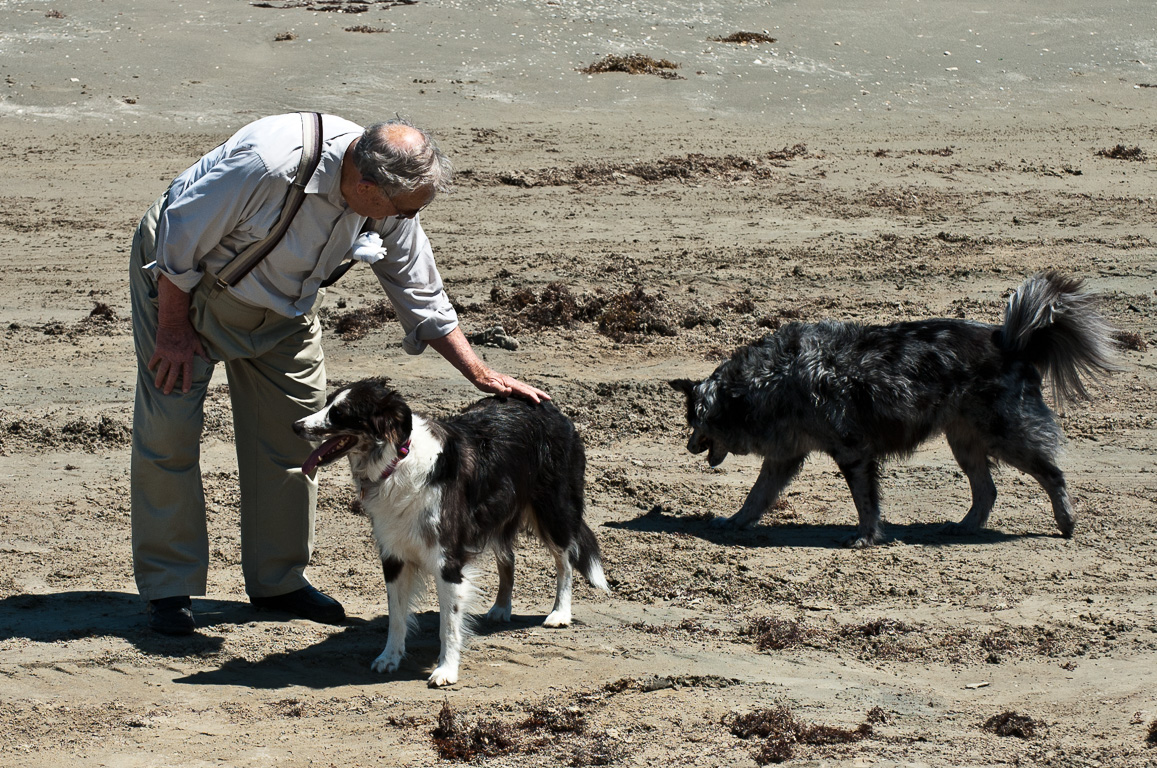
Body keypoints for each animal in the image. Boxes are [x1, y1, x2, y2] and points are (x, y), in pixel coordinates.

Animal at [293, 381, 610, 684]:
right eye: (327, 403)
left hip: (553, 510)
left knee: (565, 561)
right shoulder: (394, 555)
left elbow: (449, 625)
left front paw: (446, 670)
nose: (296, 426)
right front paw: (390, 657)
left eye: (339, 413)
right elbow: (396, 617)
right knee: (508, 558)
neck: (396, 461)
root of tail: (550, 408)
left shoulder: (447, 560)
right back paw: (501, 608)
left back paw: (560, 613)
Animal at [671, 272, 1119, 548]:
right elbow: (755, 497)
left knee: (1052, 474)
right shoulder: (783, 459)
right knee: (987, 490)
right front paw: (733, 522)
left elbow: (865, 503)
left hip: (1006, 436)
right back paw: (964, 527)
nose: (688, 448)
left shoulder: (853, 454)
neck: (771, 379)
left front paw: (867, 537)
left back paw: (1066, 521)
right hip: (965, 443)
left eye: (695, 422)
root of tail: (1011, 341)